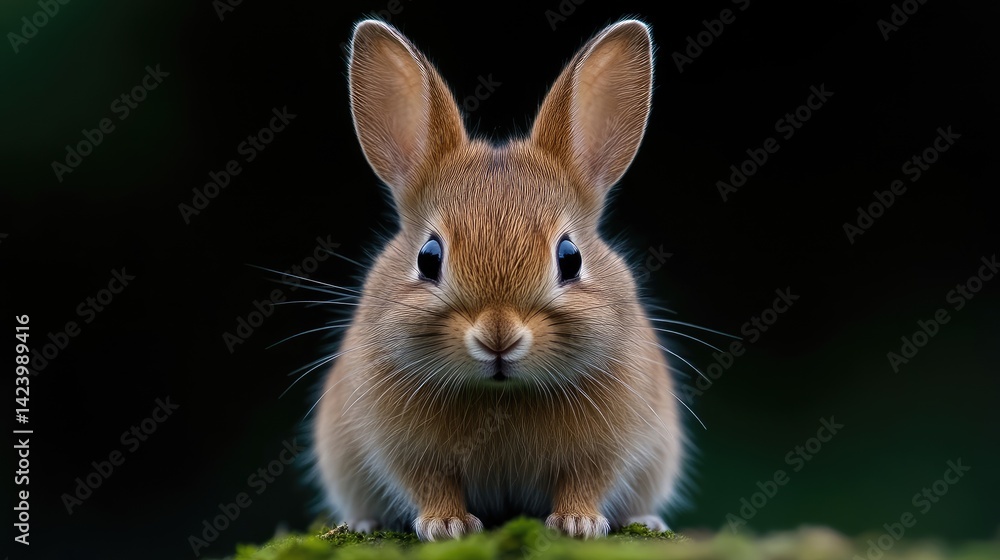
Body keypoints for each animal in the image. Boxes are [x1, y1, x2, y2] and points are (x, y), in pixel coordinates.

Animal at [312, 18, 688, 541]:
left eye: (570, 258)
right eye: (429, 258)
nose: (498, 337)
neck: (501, 393)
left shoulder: (609, 448)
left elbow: (585, 480)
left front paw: (577, 523)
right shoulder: (406, 453)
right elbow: (432, 483)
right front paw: (447, 526)